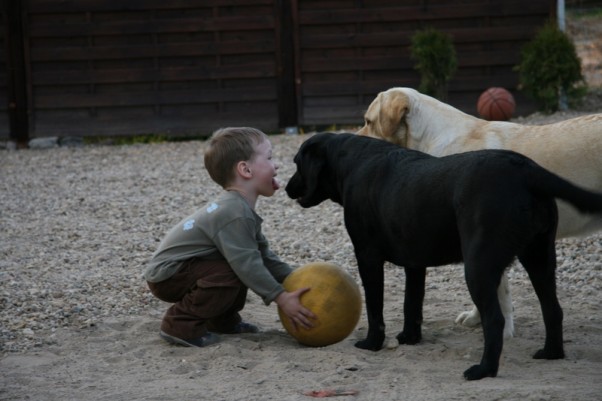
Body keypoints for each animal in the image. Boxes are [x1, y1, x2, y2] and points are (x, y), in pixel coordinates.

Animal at [284, 133, 600, 380]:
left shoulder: (367, 256)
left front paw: (372, 343)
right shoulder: (414, 263)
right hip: (539, 258)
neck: (351, 163)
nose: (287, 188)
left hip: (478, 266)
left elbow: (376, 309)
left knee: (495, 320)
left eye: (297, 163)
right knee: (553, 309)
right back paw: (551, 353)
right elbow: (412, 304)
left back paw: (484, 370)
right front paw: (409, 339)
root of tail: (526, 169)